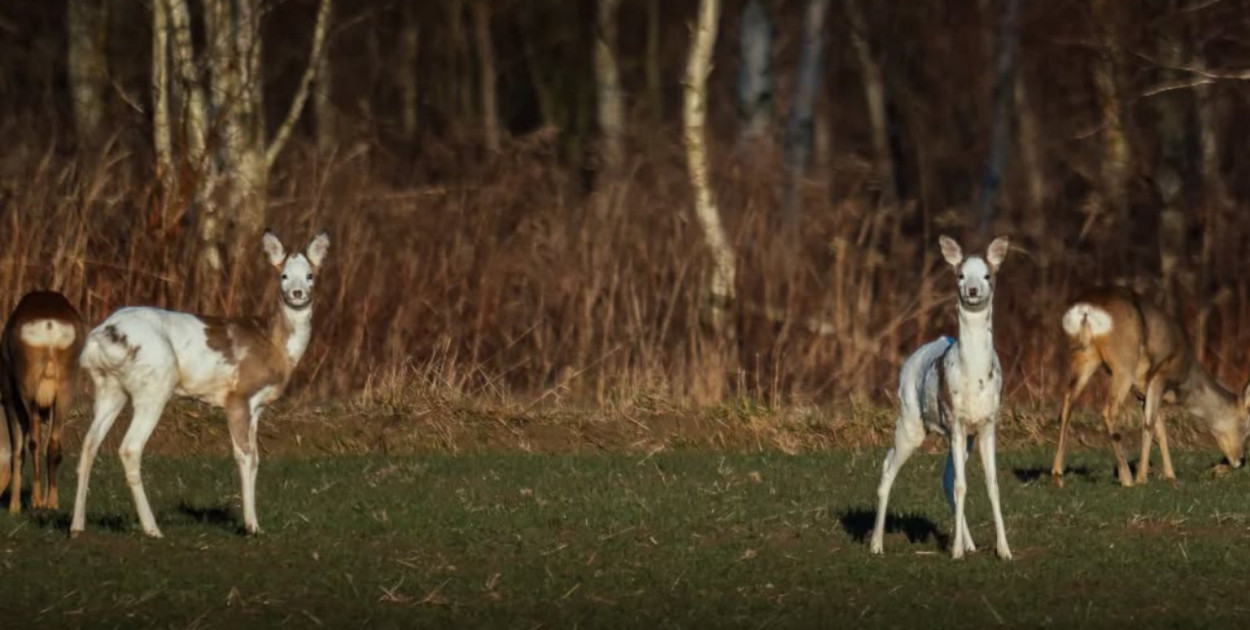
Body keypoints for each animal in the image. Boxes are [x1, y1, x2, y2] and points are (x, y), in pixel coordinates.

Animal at [0, 292, 85, 515]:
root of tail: (49, 326)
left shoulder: (9, 398)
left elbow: (17, 450)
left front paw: (14, 506)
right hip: (66, 385)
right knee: (54, 443)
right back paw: (52, 502)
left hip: (27, 384)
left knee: (34, 441)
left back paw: (35, 500)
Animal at [70, 228, 330, 540]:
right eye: (284, 275)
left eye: (310, 275)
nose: (297, 294)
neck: (275, 344)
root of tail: (101, 336)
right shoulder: (237, 397)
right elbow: (244, 457)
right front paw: (251, 526)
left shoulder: (257, 407)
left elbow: (256, 459)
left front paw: (255, 523)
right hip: (155, 384)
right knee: (130, 448)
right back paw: (152, 529)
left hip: (110, 388)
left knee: (89, 443)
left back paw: (77, 526)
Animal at [870, 236, 1015, 560]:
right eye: (960, 275)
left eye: (987, 275)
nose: (972, 290)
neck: (974, 377)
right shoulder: (957, 421)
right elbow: (963, 485)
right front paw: (956, 552)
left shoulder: (987, 424)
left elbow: (992, 485)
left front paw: (1004, 550)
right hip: (910, 420)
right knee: (887, 467)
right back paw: (875, 544)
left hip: (958, 435)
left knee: (947, 479)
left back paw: (970, 543)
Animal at [1050, 285, 1245, 487]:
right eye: (1245, 427)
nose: (1240, 460)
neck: (1186, 377)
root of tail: (1086, 311)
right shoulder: (1159, 376)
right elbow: (1150, 424)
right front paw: (1142, 477)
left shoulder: (1142, 389)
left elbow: (1160, 426)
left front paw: (1170, 475)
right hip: (1124, 363)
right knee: (1109, 411)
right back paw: (1127, 478)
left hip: (1085, 357)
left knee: (1067, 402)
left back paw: (1057, 474)